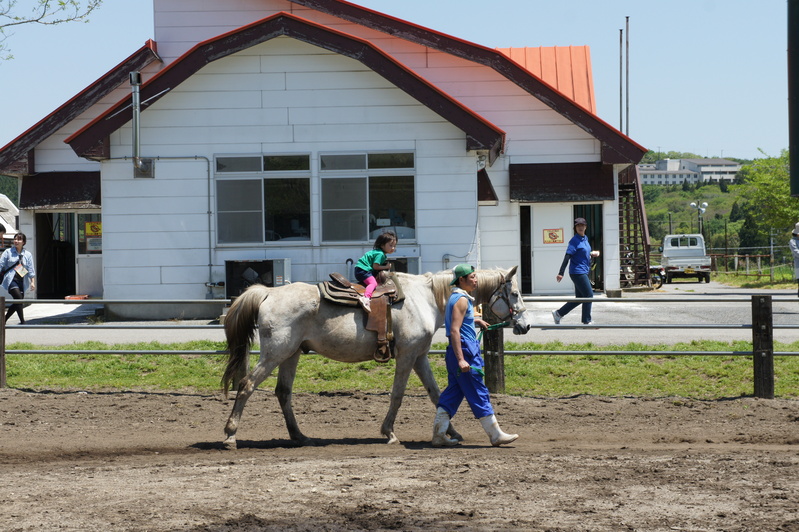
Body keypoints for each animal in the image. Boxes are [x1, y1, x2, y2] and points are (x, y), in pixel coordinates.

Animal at [222, 268, 532, 446]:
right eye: (515, 293)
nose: (526, 325)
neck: (425, 298)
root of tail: (268, 293)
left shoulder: (419, 356)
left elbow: (436, 394)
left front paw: (450, 433)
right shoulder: (407, 355)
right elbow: (397, 394)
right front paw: (389, 433)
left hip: (290, 354)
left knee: (283, 393)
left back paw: (299, 436)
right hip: (275, 353)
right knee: (246, 385)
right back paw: (230, 435)